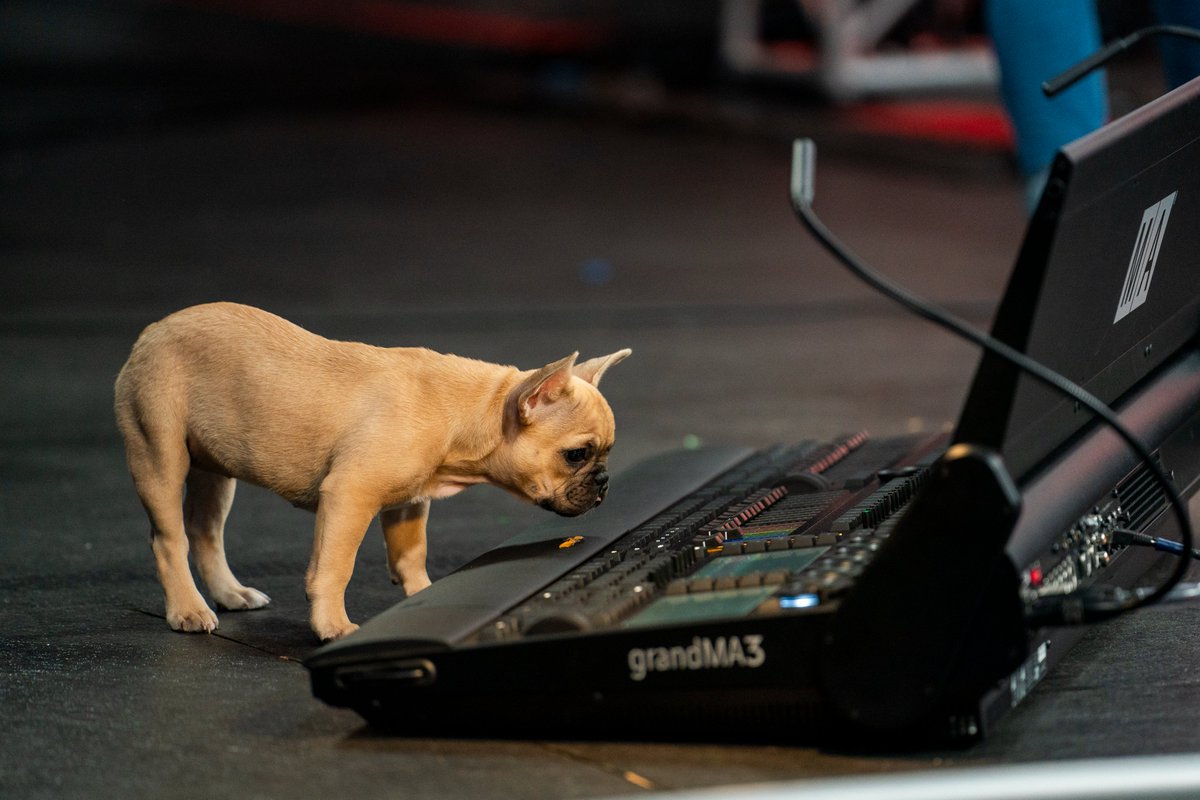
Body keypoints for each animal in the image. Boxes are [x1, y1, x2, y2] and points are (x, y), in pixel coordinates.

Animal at [115, 303, 633, 642]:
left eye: (605, 453)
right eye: (577, 455)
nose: (605, 481)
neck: (473, 412)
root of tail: (152, 331)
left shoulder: (409, 502)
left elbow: (410, 555)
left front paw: (424, 594)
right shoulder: (349, 496)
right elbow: (334, 568)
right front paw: (332, 625)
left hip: (216, 470)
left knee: (205, 531)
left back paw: (229, 593)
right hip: (159, 453)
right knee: (170, 539)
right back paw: (188, 609)